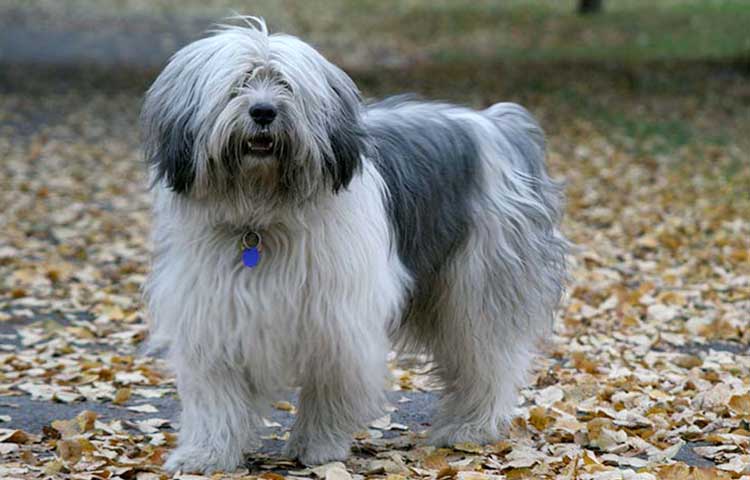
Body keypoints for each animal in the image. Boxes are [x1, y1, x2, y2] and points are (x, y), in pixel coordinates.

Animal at [140, 17, 568, 472]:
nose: (263, 112)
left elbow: (331, 385)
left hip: (479, 283)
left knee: (487, 358)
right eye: (239, 84)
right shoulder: (215, 313)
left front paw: (316, 446)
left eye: (286, 85)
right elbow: (215, 393)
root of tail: (498, 125)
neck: (261, 219)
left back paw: (470, 428)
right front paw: (205, 453)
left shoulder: (337, 320)